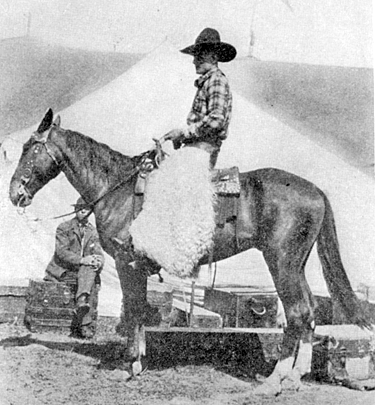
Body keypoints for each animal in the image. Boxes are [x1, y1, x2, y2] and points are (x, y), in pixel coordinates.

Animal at [8, 108, 370, 394]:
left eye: (30, 148)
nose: (14, 194)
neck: (118, 188)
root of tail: (315, 190)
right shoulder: (138, 266)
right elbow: (138, 311)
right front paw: (138, 359)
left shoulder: (127, 262)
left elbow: (134, 310)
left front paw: (131, 365)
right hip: (296, 264)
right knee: (308, 311)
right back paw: (295, 375)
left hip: (281, 261)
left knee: (297, 312)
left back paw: (277, 380)